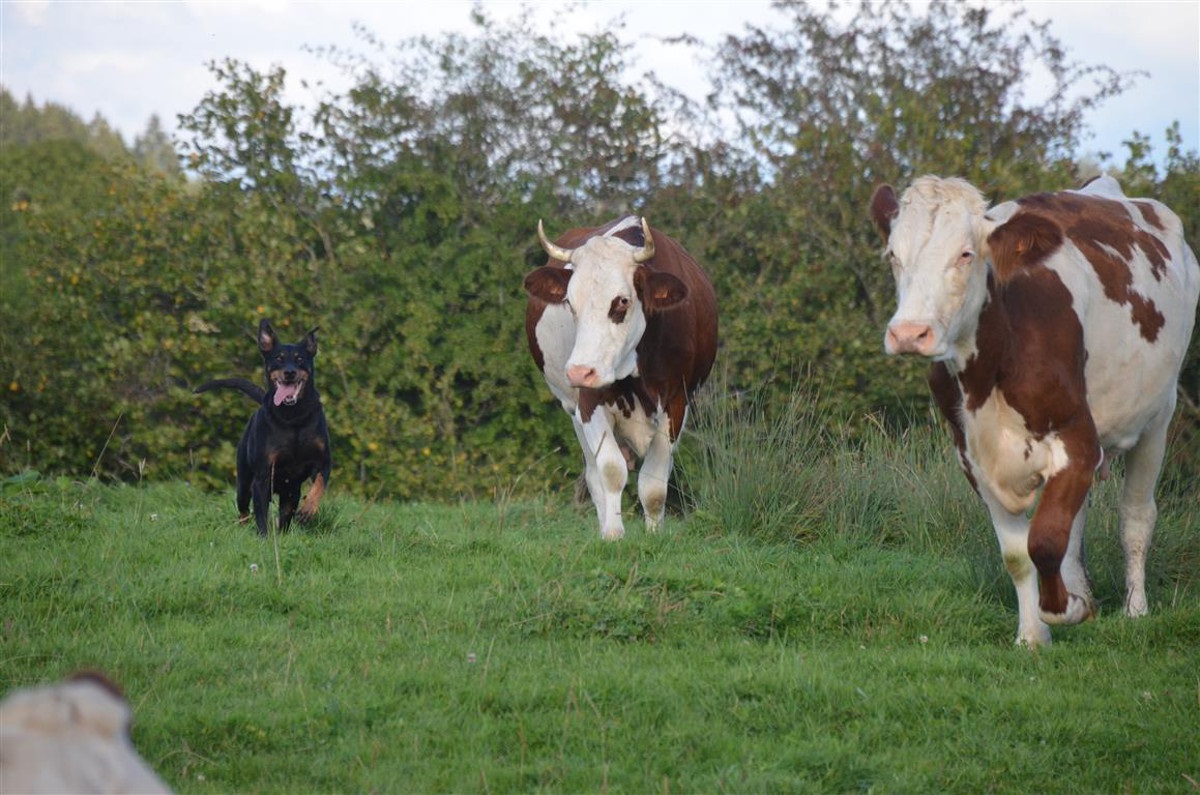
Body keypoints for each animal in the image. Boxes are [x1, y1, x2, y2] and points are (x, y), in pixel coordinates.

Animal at [194, 321, 333, 538]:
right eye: (278, 358)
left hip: (291, 490)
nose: (290, 372)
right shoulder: (262, 474)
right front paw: (264, 538)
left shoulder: (323, 462)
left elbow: (319, 485)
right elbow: (261, 513)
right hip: (244, 480)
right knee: (244, 509)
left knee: (286, 512)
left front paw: (308, 511)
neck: (293, 417)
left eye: (300, 358)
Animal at [523, 216, 710, 542]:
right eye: (570, 303)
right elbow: (610, 470)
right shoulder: (588, 401)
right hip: (571, 408)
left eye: (621, 301)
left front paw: (654, 534)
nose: (579, 371)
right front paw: (612, 533)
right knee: (593, 473)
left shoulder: (676, 403)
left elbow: (654, 484)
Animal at [873, 176, 1200, 648]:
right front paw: (1033, 634)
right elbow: (1018, 553)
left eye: (966, 254)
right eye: (894, 255)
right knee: (1078, 519)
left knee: (1136, 517)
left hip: (1158, 416)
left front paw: (1069, 609)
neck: (987, 374)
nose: (909, 333)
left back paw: (1135, 610)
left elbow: (1044, 541)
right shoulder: (973, 458)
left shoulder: (1076, 437)